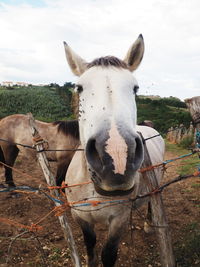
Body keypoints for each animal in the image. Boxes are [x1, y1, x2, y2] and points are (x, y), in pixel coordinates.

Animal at [63, 34, 164, 266]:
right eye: (79, 88)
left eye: (135, 88)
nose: (118, 158)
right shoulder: (80, 217)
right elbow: (90, 246)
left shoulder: (119, 221)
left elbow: (108, 254)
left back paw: (148, 224)